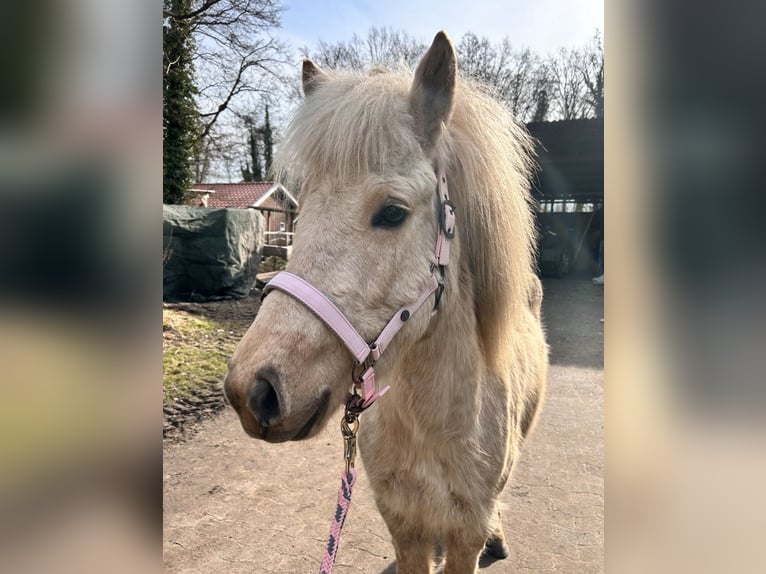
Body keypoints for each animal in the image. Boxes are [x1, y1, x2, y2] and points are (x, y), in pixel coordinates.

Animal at [223, 31, 548, 574]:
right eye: (301, 209)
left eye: (393, 212)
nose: (253, 390)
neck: (433, 427)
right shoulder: (402, 524)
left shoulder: (466, 532)